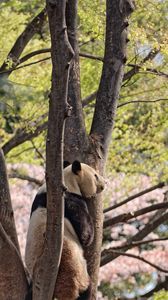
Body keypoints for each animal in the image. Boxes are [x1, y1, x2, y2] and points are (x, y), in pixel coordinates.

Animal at [25, 161, 104, 300]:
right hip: (73, 271)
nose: (104, 184)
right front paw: (87, 237)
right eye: (95, 176)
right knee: (85, 288)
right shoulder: (73, 201)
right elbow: (86, 234)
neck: (67, 180)